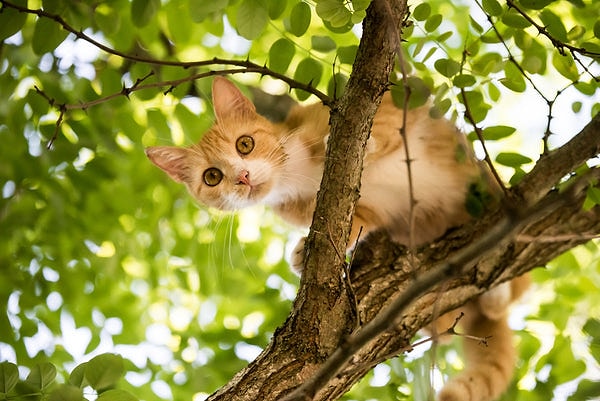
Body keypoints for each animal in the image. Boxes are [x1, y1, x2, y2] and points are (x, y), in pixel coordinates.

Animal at [148, 76, 528, 400]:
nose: (242, 177)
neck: (296, 174)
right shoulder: (365, 209)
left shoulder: (387, 104)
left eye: (245, 144)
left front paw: (362, 141)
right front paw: (303, 252)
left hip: (488, 189)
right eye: (212, 177)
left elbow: (385, 120)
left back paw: (497, 288)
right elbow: (351, 222)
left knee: (515, 289)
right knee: (449, 331)